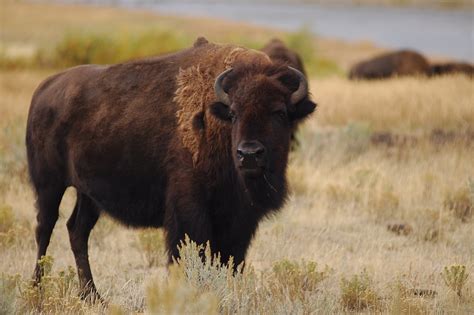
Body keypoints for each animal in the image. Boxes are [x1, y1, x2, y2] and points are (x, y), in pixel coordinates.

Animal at [25, 35, 314, 300]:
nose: (249, 154)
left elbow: (230, 261)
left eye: (280, 112)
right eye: (233, 113)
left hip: (88, 195)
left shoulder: (240, 219)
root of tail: (43, 90)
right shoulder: (190, 211)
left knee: (77, 231)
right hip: (49, 185)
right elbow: (189, 255)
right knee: (44, 229)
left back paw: (92, 296)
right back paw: (37, 290)